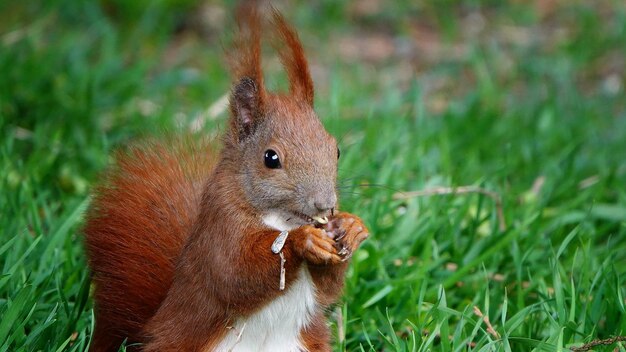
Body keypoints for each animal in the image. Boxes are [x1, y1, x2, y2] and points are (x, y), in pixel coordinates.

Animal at [81, 5, 368, 352]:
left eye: (335, 149)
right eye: (271, 158)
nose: (325, 204)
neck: (282, 219)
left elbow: (327, 289)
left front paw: (352, 227)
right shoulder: (220, 225)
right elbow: (234, 275)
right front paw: (304, 241)